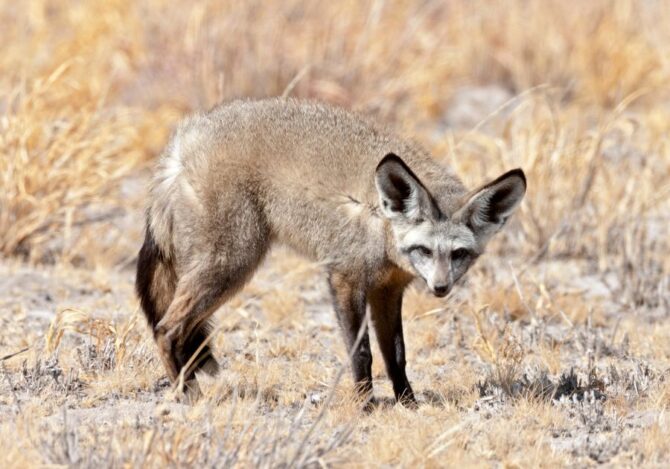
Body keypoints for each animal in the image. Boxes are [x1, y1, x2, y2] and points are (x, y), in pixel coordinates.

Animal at [136, 98, 526, 406]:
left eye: (459, 254)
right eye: (425, 250)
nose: (441, 288)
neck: (381, 225)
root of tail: (185, 137)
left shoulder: (387, 290)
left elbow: (396, 355)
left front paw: (408, 402)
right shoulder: (344, 278)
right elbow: (362, 352)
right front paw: (365, 405)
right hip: (231, 264)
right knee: (167, 329)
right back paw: (187, 394)